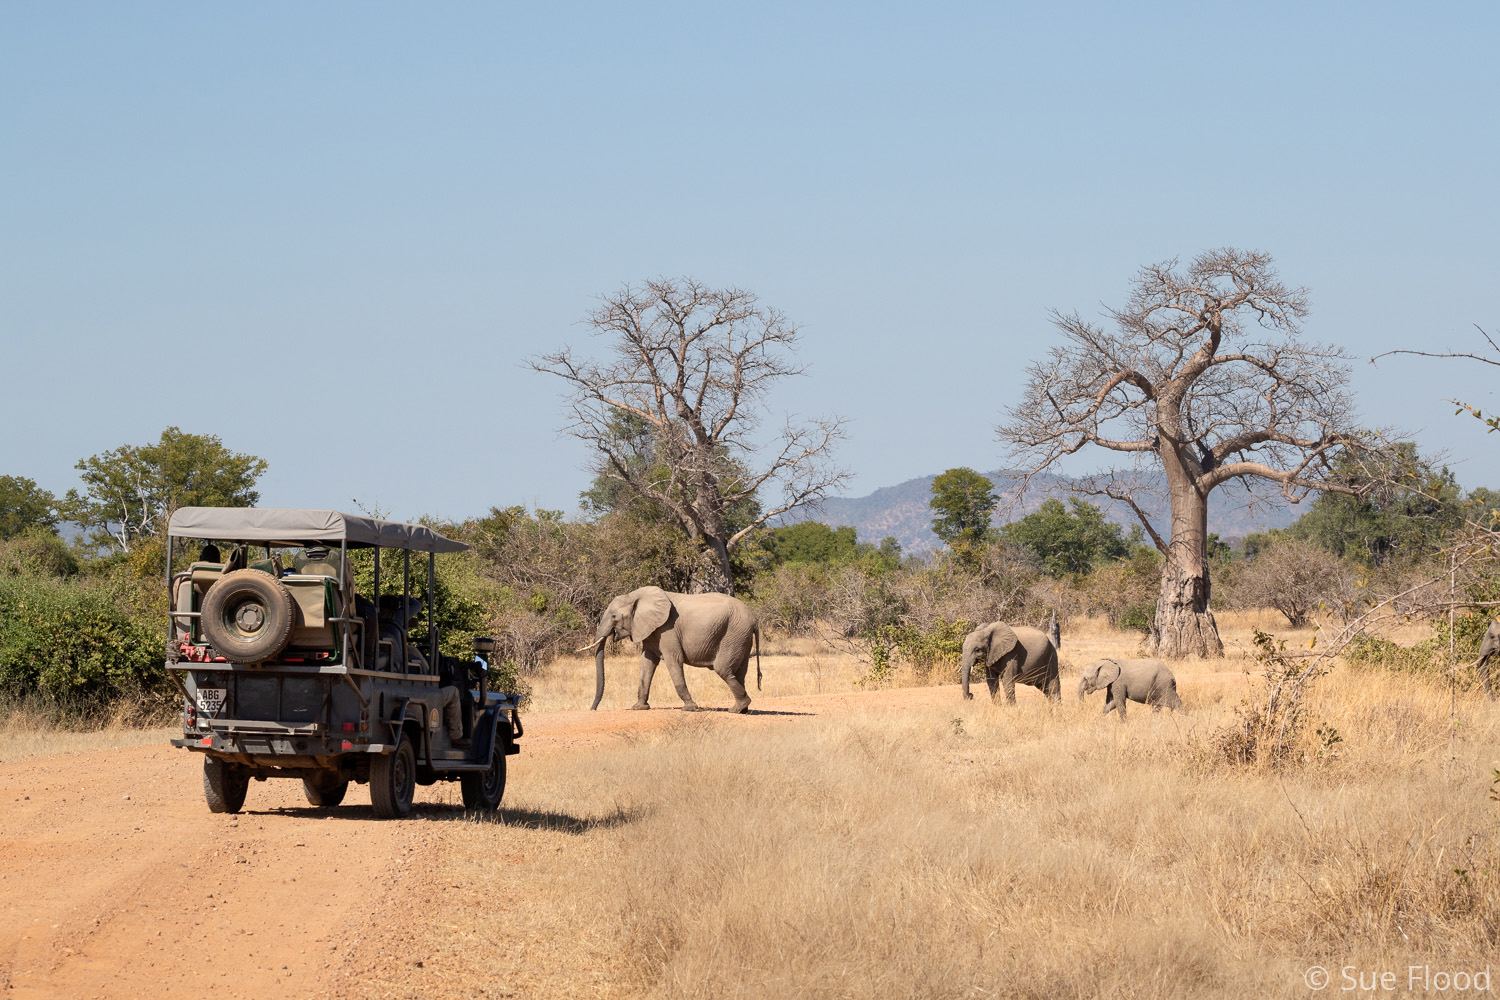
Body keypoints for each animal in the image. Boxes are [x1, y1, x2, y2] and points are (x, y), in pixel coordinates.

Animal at [579, 581, 756, 716]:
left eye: (614, 616)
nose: (593, 709)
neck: (636, 596)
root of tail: (753, 618)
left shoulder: (667, 629)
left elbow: (673, 660)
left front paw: (690, 708)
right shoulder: (651, 630)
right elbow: (646, 663)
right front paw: (639, 708)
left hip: (734, 633)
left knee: (723, 669)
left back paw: (736, 709)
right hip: (741, 637)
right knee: (739, 671)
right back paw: (742, 709)